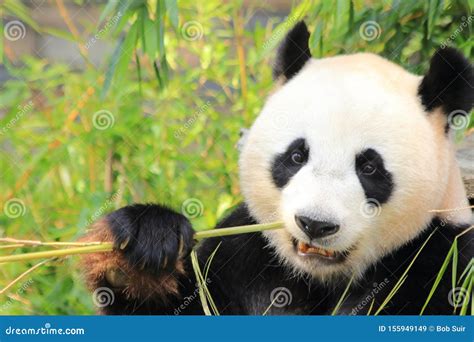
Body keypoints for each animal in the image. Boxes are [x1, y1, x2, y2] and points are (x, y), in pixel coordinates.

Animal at [79, 21, 472, 316]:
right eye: (297, 156)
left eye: (370, 168)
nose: (315, 224)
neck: (319, 277)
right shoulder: (243, 257)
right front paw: (143, 247)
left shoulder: (438, 261)